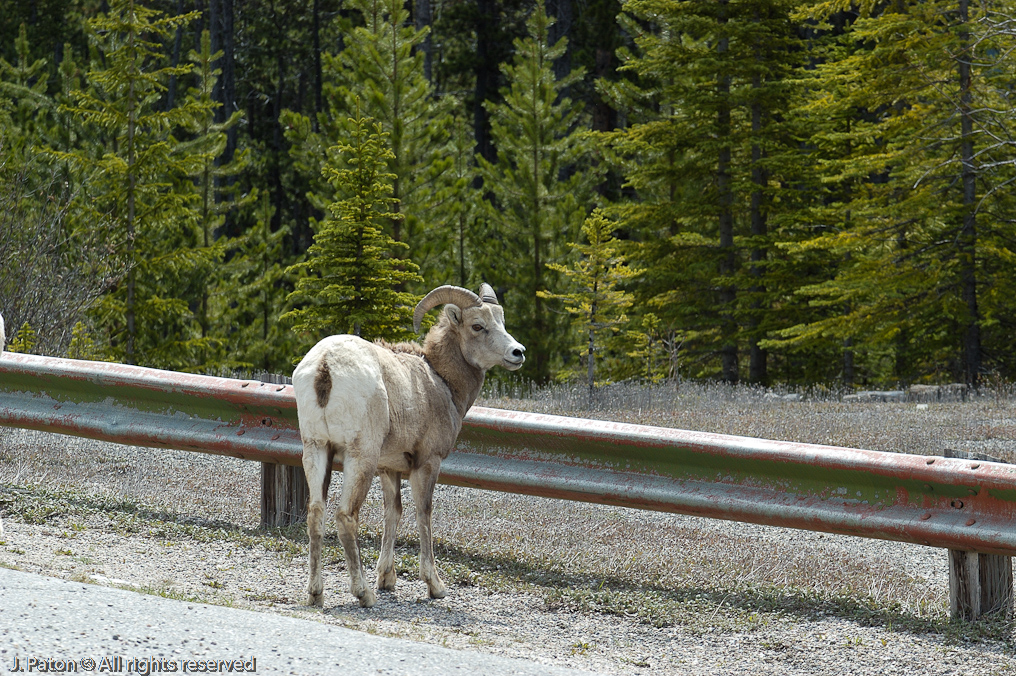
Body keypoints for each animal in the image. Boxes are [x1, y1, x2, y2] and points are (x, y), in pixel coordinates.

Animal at [292, 283, 525, 608]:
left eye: (501, 320)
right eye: (477, 326)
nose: (518, 353)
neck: (441, 381)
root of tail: (325, 366)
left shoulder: (389, 468)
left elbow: (394, 512)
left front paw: (387, 580)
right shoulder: (427, 462)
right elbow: (422, 512)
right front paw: (435, 586)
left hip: (316, 449)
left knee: (316, 513)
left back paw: (316, 594)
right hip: (359, 457)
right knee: (345, 516)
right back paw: (363, 594)